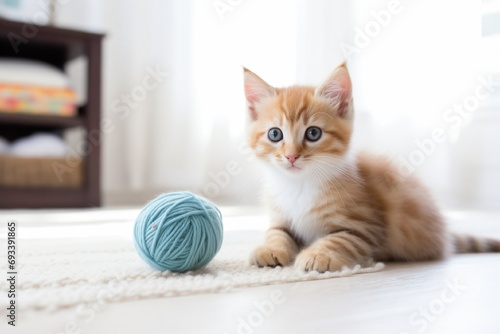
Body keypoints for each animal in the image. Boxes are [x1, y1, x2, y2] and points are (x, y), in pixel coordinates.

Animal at [243, 62, 500, 272]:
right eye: (275, 134)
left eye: (313, 133)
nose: (291, 156)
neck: (299, 184)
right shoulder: (281, 217)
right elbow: (276, 232)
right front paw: (269, 249)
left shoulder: (367, 225)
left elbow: (340, 238)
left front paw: (318, 255)